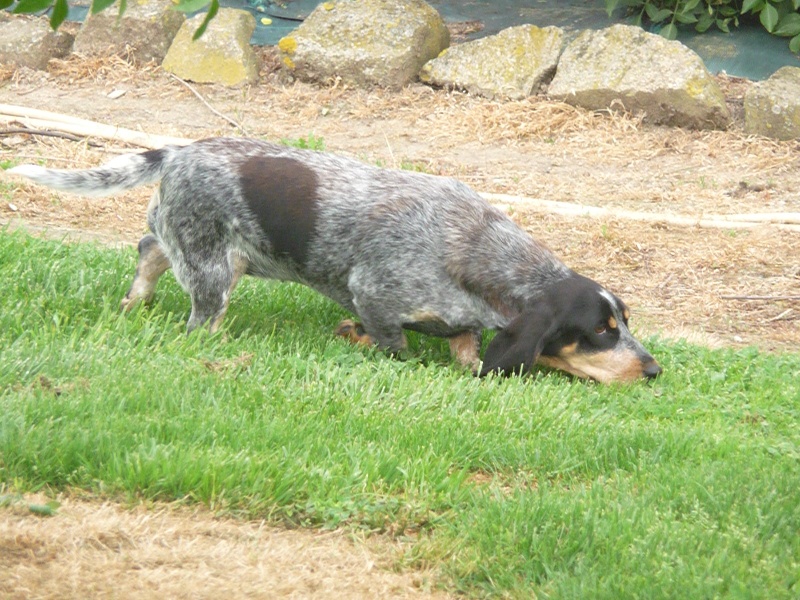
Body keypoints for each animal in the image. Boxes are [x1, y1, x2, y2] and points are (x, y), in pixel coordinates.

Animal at [10, 137, 664, 382]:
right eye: (602, 331)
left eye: (624, 322)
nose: (655, 370)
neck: (478, 251)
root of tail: (176, 151)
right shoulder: (373, 293)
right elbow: (393, 346)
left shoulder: (463, 325)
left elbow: (464, 347)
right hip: (214, 272)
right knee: (200, 319)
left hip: (200, 248)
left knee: (148, 251)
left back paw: (134, 302)